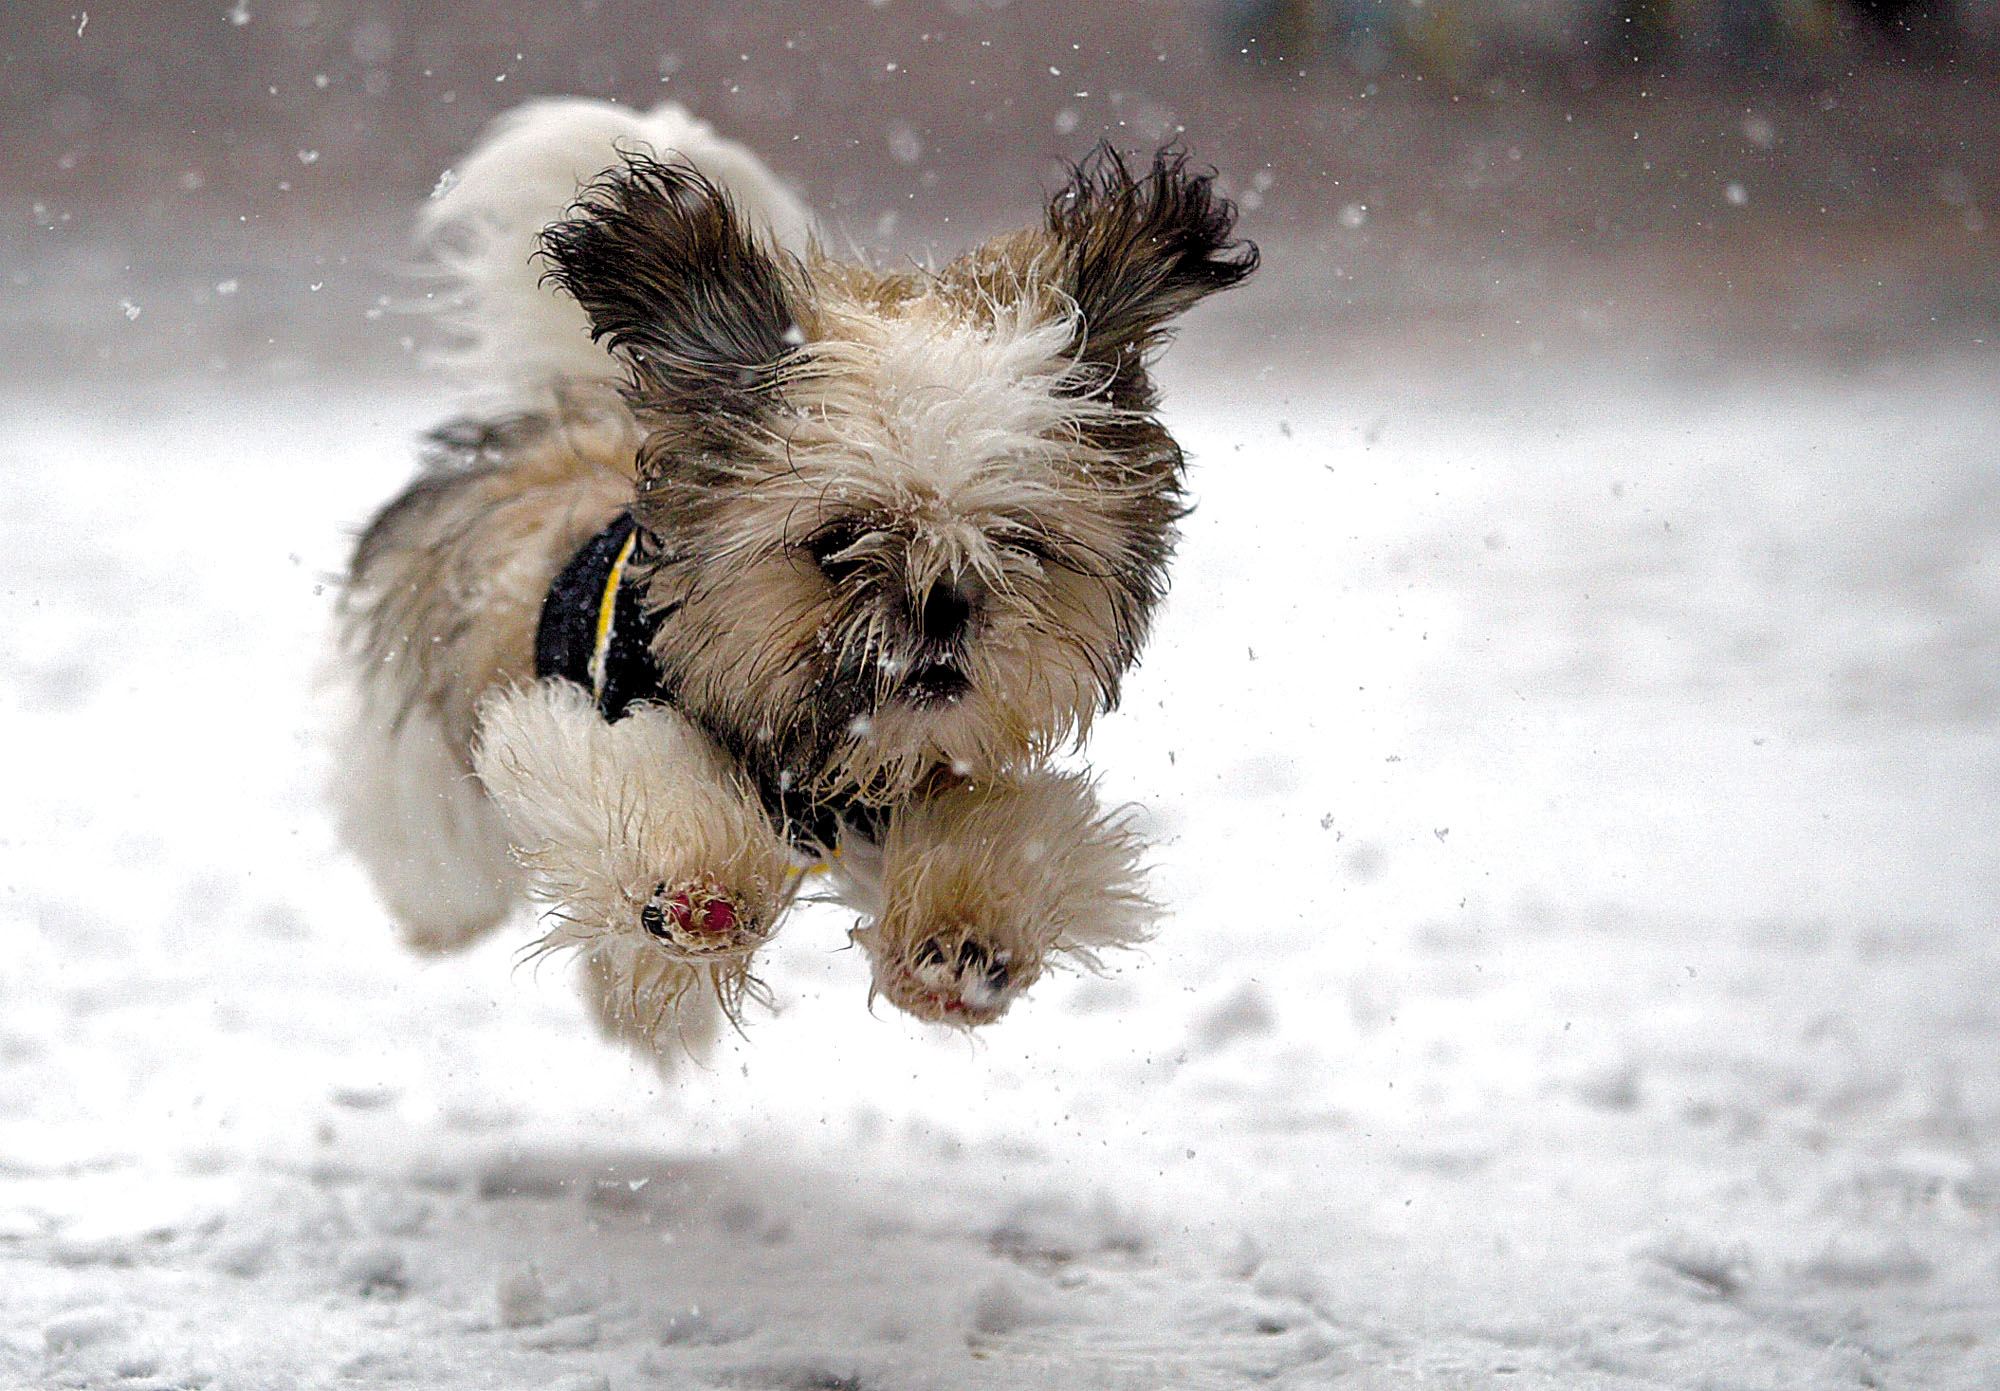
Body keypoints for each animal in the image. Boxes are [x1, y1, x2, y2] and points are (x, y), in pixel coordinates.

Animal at [336, 100, 1256, 1063]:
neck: (815, 765)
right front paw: (696, 884)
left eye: (1020, 541)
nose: (944, 604)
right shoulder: (586, 717)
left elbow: (1014, 831)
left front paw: (964, 940)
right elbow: (642, 783)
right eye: (838, 540)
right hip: (423, 775)